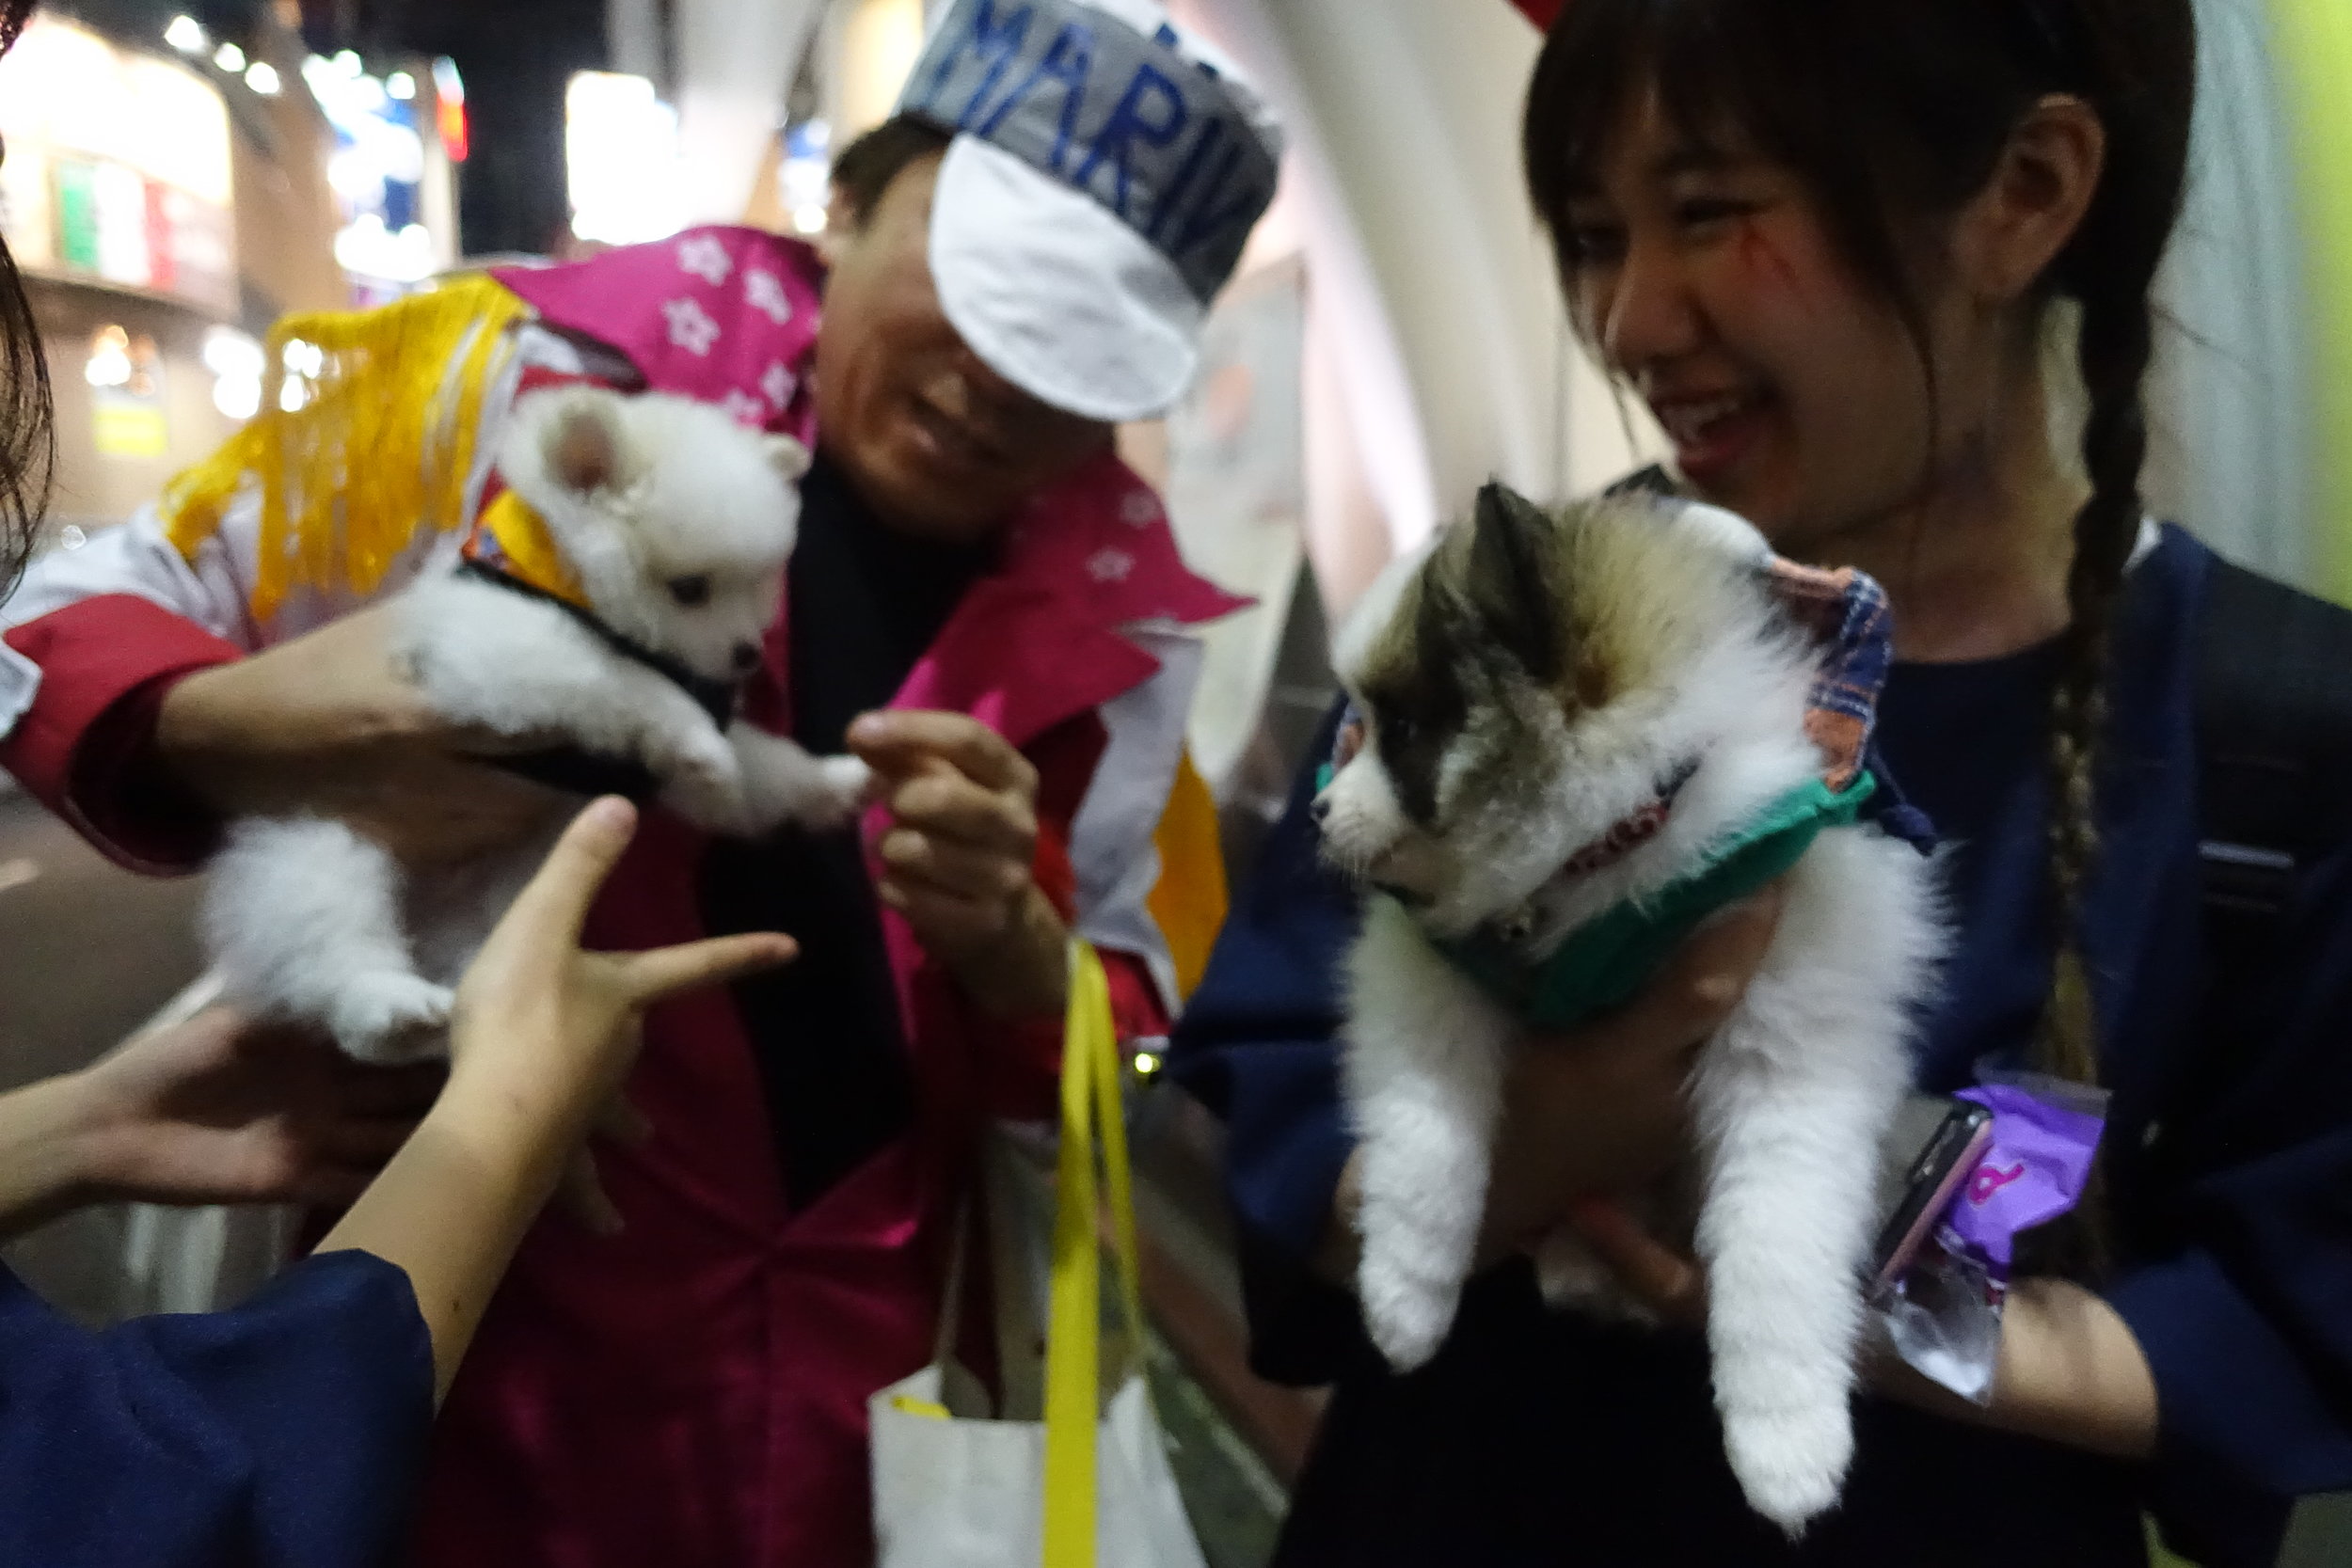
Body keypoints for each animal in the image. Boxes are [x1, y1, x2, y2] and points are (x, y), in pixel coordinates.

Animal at [204, 384, 868, 1064]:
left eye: (757, 583)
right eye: (689, 589)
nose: (746, 655)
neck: (561, 578)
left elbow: (761, 770)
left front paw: (832, 781)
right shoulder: (497, 654)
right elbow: (625, 679)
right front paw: (698, 736)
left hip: (493, 902)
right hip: (321, 847)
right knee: (327, 949)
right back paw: (389, 1005)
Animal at [1316, 482, 1942, 1534]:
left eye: (1402, 730)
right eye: (1356, 724)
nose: (1319, 814)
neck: (1602, 854)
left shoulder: (1794, 1034)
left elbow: (1780, 1235)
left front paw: (1785, 1438)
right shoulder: (1429, 968)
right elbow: (1429, 1134)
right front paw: (1406, 1292)